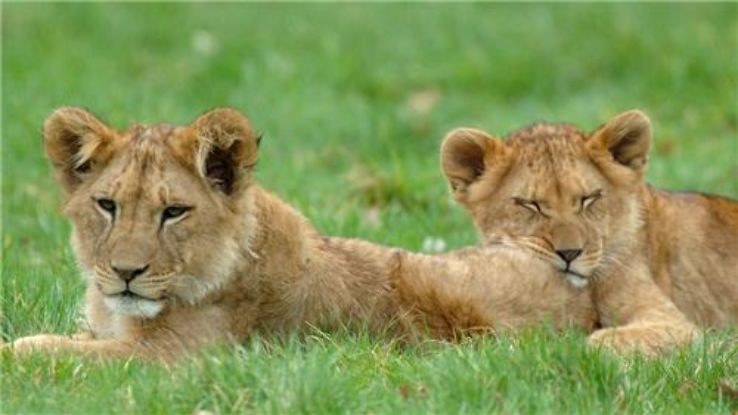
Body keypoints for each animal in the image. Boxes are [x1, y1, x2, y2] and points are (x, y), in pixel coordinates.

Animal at [8, 107, 596, 361]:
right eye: (107, 205)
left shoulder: (173, 358)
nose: (126, 274)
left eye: (173, 212)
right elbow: (51, 342)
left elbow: (42, 354)